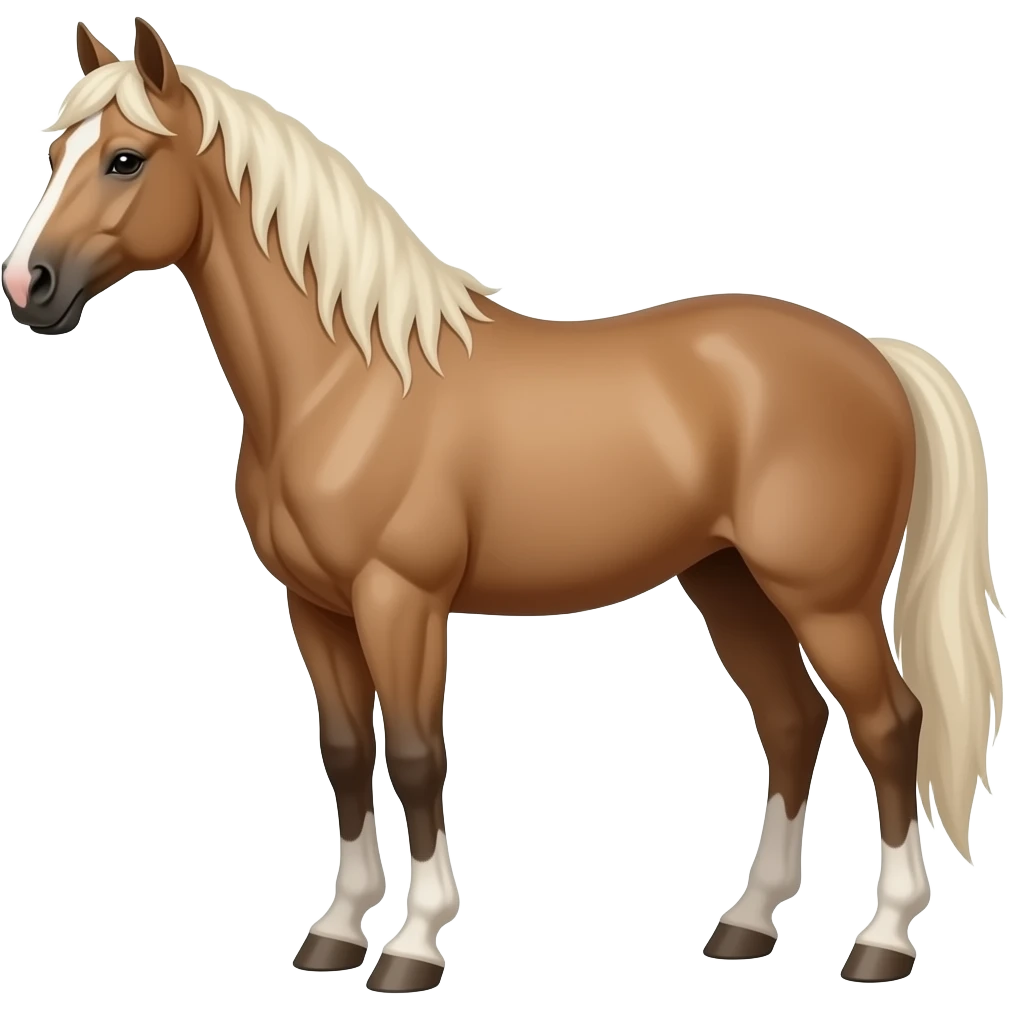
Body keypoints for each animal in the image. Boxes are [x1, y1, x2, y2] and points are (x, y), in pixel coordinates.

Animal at [4, 17, 1003, 991]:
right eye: (52, 151)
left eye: (125, 158)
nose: (27, 285)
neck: (345, 380)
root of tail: (873, 354)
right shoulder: (314, 605)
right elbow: (344, 751)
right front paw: (334, 931)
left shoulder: (399, 599)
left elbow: (417, 756)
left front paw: (412, 944)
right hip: (729, 583)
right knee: (791, 720)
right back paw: (747, 923)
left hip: (823, 598)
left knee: (890, 723)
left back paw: (882, 938)